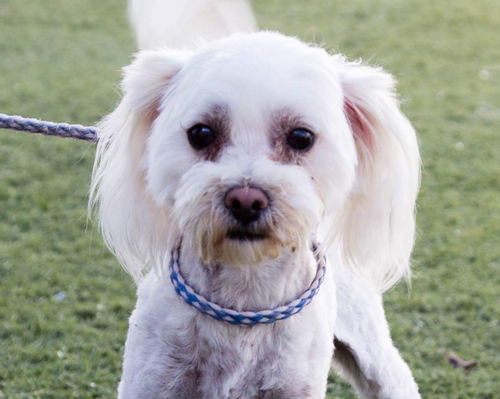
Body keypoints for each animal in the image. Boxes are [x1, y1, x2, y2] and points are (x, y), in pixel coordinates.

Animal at [91, 1, 422, 398]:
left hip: (373, 352)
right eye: (201, 133)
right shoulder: (151, 382)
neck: (244, 298)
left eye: (301, 137)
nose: (245, 200)